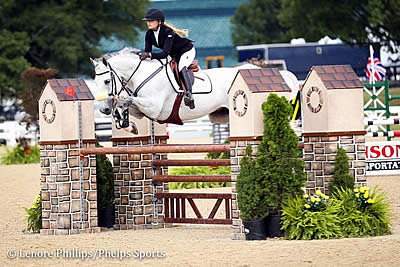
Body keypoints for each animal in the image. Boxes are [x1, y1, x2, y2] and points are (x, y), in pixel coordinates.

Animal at [91, 47, 260, 135]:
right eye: (95, 83)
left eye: (106, 81)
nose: (103, 109)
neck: (142, 74)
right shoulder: (142, 110)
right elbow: (124, 105)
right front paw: (128, 125)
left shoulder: (153, 108)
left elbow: (125, 99)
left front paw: (122, 117)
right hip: (222, 115)